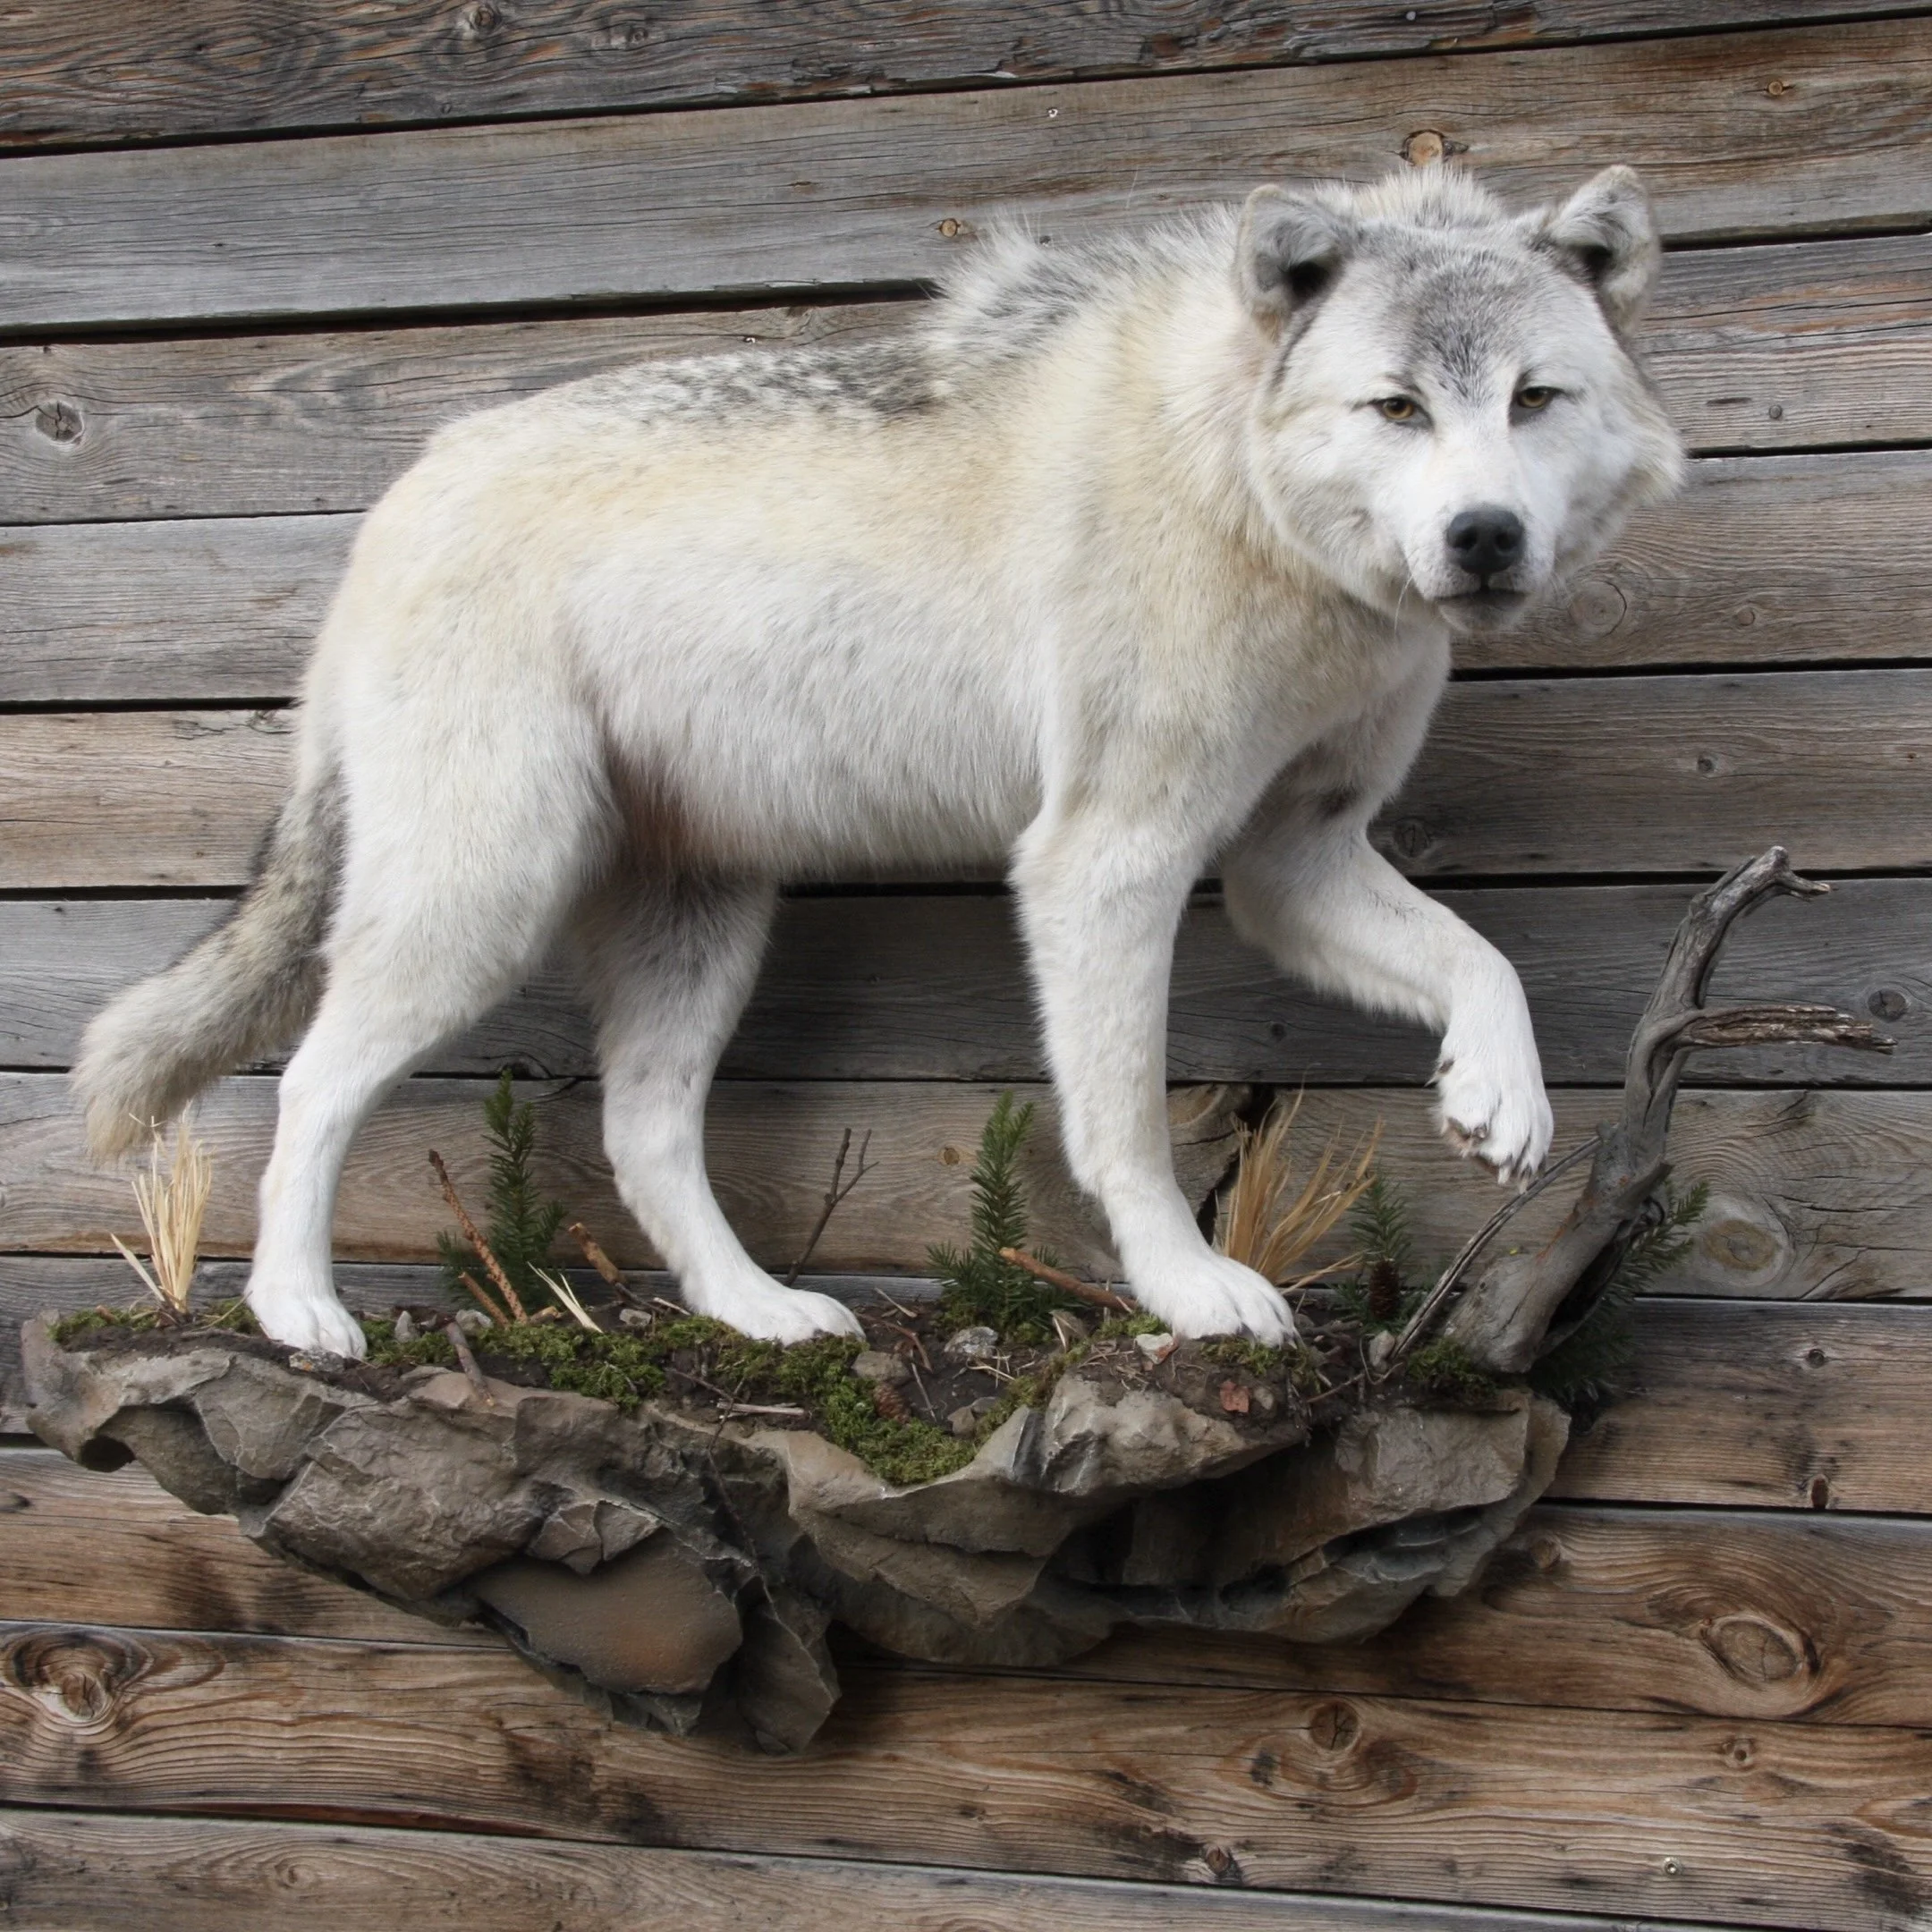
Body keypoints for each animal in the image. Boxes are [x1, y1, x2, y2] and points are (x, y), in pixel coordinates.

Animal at [76, 164, 1684, 1357]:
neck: (1238, 486)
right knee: (311, 1083)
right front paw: (1191, 1298)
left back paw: (763, 1316)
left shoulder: (1295, 862)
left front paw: (1501, 1103)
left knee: (641, 1135)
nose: (1485, 538)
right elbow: (1128, 1129)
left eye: (1532, 399)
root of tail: (399, 492)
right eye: (1397, 408)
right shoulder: (1107, 863)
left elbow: (1488, 962)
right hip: (484, 903)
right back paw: (298, 1312)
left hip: (698, 925)